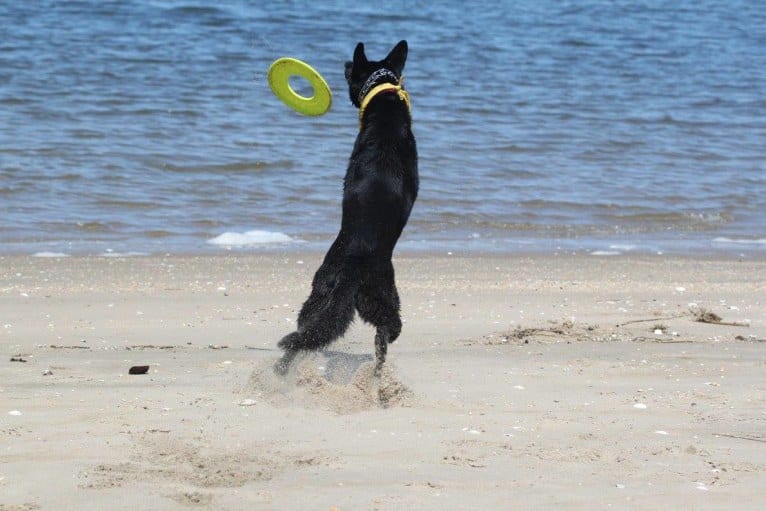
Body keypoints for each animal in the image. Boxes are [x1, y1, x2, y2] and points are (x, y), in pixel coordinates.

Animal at [276, 40, 420, 376]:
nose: (343, 62)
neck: (384, 105)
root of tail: (354, 267)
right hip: (383, 299)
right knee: (389, 329)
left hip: (320, 292)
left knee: (307, 331)